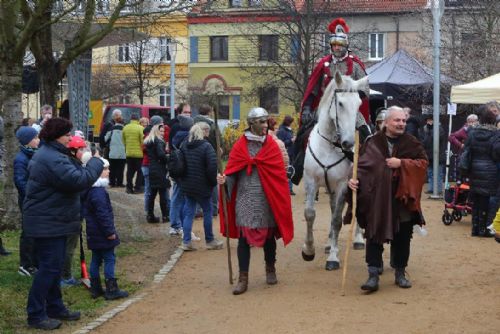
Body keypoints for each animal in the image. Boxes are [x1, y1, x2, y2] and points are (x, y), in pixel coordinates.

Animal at [300, 72, 368, 270]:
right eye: (340, 103)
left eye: (359, 104)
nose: (348, 143)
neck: (330, 145)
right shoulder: (311, 181)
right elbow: (310, 214)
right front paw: (308, 250)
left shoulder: (342, 185)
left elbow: (337, 219)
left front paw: (333, 258)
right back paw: (329, 243)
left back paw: (358, 239)